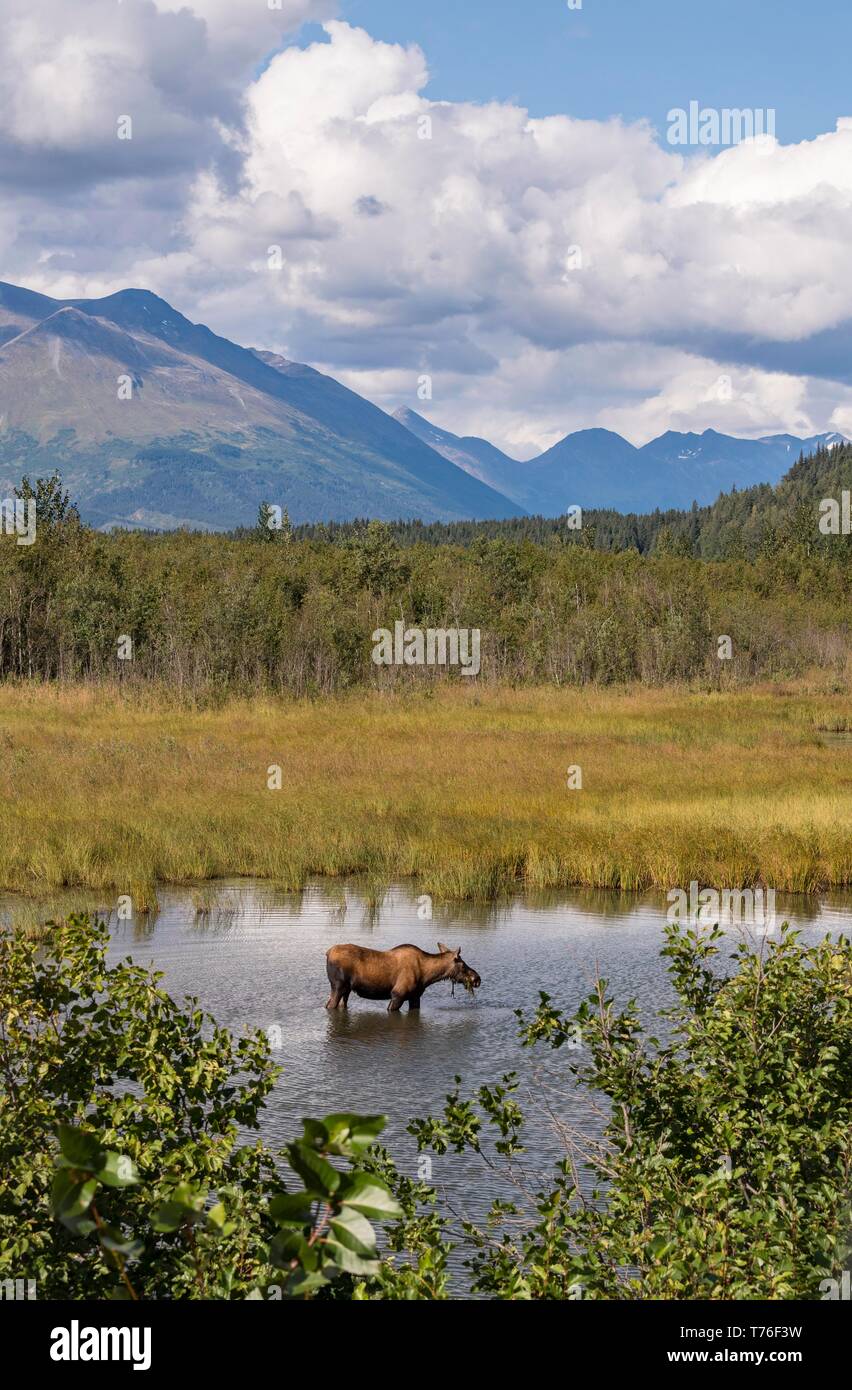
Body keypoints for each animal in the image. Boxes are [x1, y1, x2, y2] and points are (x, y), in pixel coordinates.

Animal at [325, 939, 480, 1017]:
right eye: (463, 965)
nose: (477, 979)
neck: (427, 975)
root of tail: (327, 953)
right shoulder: (398, 994)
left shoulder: (415, 997)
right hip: (338, 986)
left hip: (346, 990)